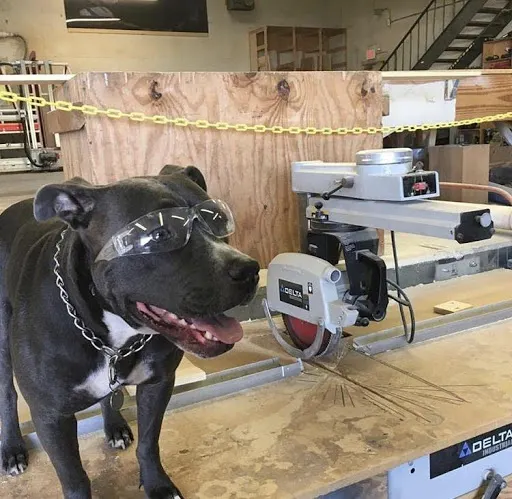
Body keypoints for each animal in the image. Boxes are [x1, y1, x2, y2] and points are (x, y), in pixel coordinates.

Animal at [0, 165, 260, 498]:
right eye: (159, 235)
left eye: (219, 220)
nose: (249, 270)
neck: (112, 336)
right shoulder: (50, 416)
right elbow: (74, 477)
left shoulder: (157, 384)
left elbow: (149, 443)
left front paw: (157, 485)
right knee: (7, 394)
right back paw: (12, 449)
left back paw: (114, 425)